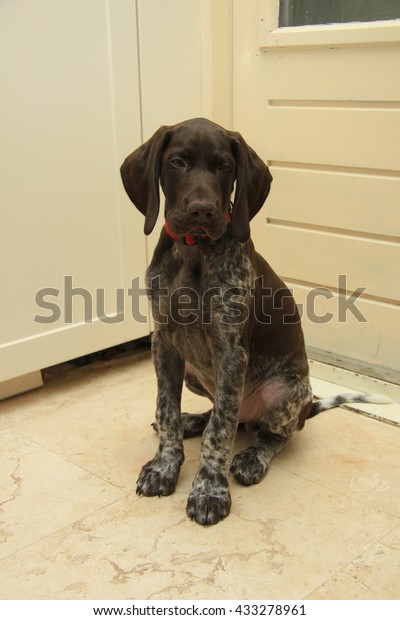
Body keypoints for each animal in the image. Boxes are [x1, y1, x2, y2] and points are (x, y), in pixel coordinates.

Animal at [120, 117, 390, 524]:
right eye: (177, 162)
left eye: (224, 167)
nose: (202, 210)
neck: (194, 250)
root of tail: (309, 407)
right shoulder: (164, 343)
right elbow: (166, 410)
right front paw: (165, 466)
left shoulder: (232, 353)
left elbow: (220, 432)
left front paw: (209, 490)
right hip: (194, 373)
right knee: (220, 412)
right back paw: (192, 420)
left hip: (285, 393)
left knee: (272, 433)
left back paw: (251, 457)